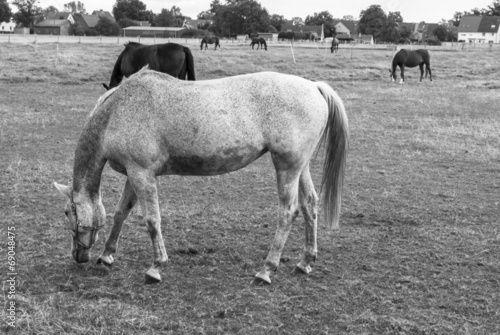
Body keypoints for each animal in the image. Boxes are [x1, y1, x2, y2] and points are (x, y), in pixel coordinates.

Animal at [53, 68, 348, 286]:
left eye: (67, 212)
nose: (78, 256)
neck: (117, 111)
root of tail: (314, 87)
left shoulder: (142, 174)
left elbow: (152, 220)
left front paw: (155, 267)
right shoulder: (134, 173)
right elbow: (120, 213)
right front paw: (107, 255)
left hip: (287, 167)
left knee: (288, 212)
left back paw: (266, 270)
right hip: (300, 167)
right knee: (310, 205)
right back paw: (305, 262)